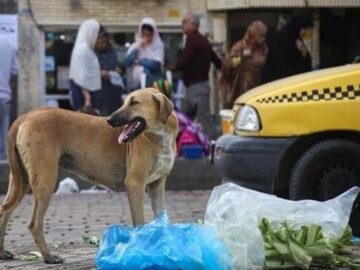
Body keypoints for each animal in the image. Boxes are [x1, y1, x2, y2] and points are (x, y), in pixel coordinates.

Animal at [0, 88, 179, 264]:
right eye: (125, 102)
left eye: (134, 102)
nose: (109, 119)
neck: (159, 136)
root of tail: (25, 116)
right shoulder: (135, 184)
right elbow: (139, 222)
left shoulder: (157, 185)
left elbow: (161, 220)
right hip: (45, 180)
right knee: (34, 224)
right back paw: (48, 256)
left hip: (21, 179)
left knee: (5, 210)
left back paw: (2, 252)